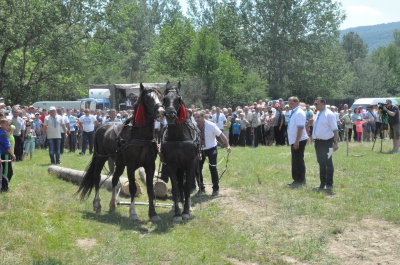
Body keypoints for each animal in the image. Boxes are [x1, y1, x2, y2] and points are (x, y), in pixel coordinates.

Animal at [76, 83, 165, 220]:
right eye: (148, 98)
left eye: (160, 97)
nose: (161, 112)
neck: (140, 137)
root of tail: (101, 127)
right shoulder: (131, 166)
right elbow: (133, 188)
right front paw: (133, 212)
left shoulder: (150, 165)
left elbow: (151, 189)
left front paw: (153, 214)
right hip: (101, 158)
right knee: (97, 177)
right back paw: (97, 204)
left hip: (119, 163)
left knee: (114, 179)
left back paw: (113, 205)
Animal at [161, 81, 202, 221]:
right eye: (164, 99)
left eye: (179, 99)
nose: (170, 115)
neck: (178, 138)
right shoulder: (171, 165)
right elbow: (176, 187)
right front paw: (177, 212)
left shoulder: (190, 164)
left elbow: (187, 186)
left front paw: (185, 212)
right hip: (179, 167)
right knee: (179, 185)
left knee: (189, 182)